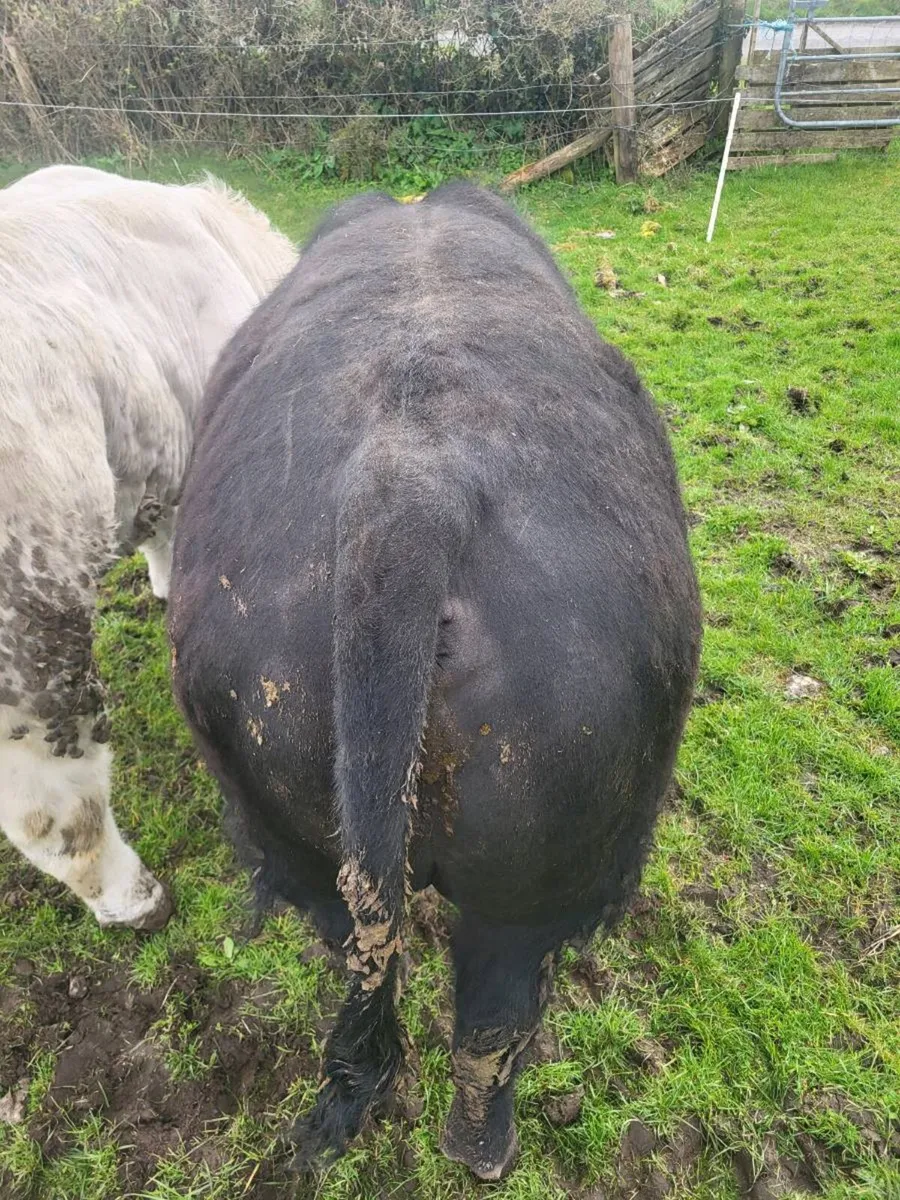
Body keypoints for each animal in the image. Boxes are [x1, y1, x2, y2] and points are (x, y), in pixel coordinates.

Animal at [167, 183, 701, 1179]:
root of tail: (409, 491)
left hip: (302, 800)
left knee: (383, 961)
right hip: (558, 840)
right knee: (496, 1017)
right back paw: (490, 1150)